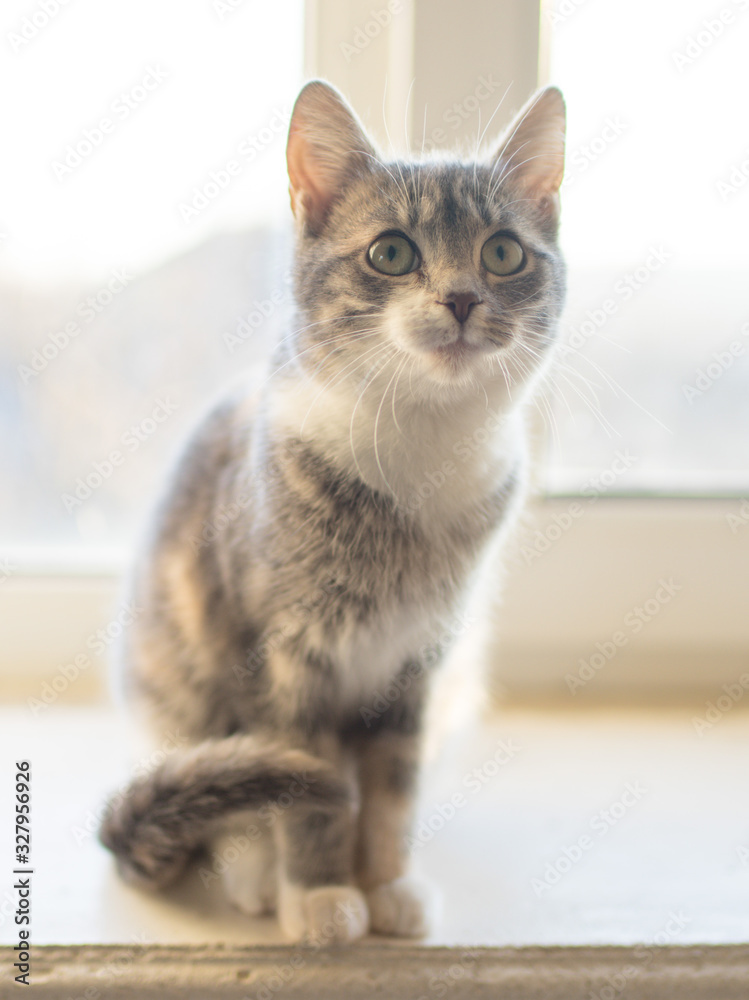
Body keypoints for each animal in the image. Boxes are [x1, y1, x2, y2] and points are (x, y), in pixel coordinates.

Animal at [101, 78, 568, 944]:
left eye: (502, 252)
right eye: (391, 252)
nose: (460, 299)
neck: (420, 448)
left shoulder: (418, 662)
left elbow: (391, 791)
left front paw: (384, 882)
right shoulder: (278, 657)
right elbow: (308, 790)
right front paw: (320, 893)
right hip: (176, 689)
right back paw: (256, 872)